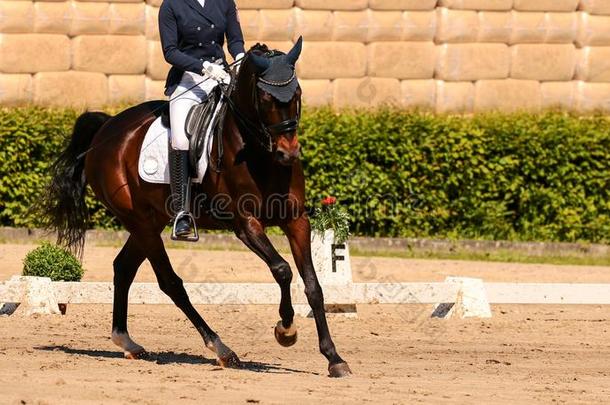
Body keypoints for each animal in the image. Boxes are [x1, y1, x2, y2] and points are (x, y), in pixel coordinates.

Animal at [38, 39, 350, 378]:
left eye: (297, 94)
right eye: (266, 97)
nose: (288, 153)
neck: (259, 155)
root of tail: (107, 128)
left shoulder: (296, 221)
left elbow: (313, 285)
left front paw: (333, 357)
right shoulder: (245, 224)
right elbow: (282, 270)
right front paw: (286, 330)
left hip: (150, 221)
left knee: (123, 268)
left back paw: (128, 342)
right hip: (140, 222)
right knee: (170, 283)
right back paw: (221, 349)